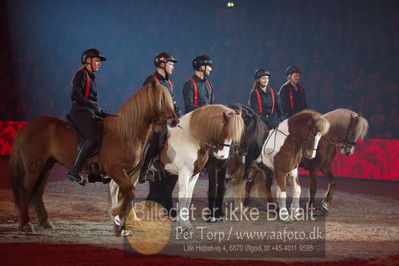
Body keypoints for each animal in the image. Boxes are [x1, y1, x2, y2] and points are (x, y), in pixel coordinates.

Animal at [7, 80, 177, 233]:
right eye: (161, 100)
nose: (174, 121)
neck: (125, 133)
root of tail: (25, 127)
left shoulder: (132, 172)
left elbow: (127, 195)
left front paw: (123, 223)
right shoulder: (115, 170)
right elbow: (129, 193)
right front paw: (116, 217)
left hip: (46, 165)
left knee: (38, 191)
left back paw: (45, 222)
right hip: (34, 165)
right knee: (26, 189)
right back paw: (26, 224)